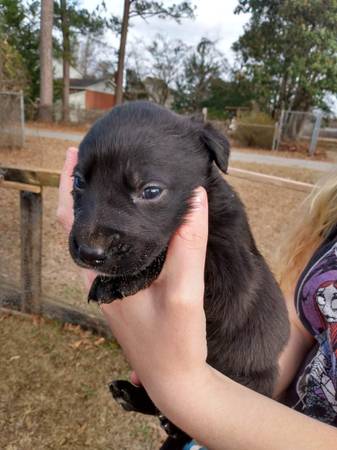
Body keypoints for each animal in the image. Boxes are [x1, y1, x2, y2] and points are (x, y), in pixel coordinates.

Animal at [69, 102, 288, 450]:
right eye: (78, 181)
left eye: (151, 191)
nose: (90, 253)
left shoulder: (229, 271)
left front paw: (120, 281)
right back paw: (132, 396)